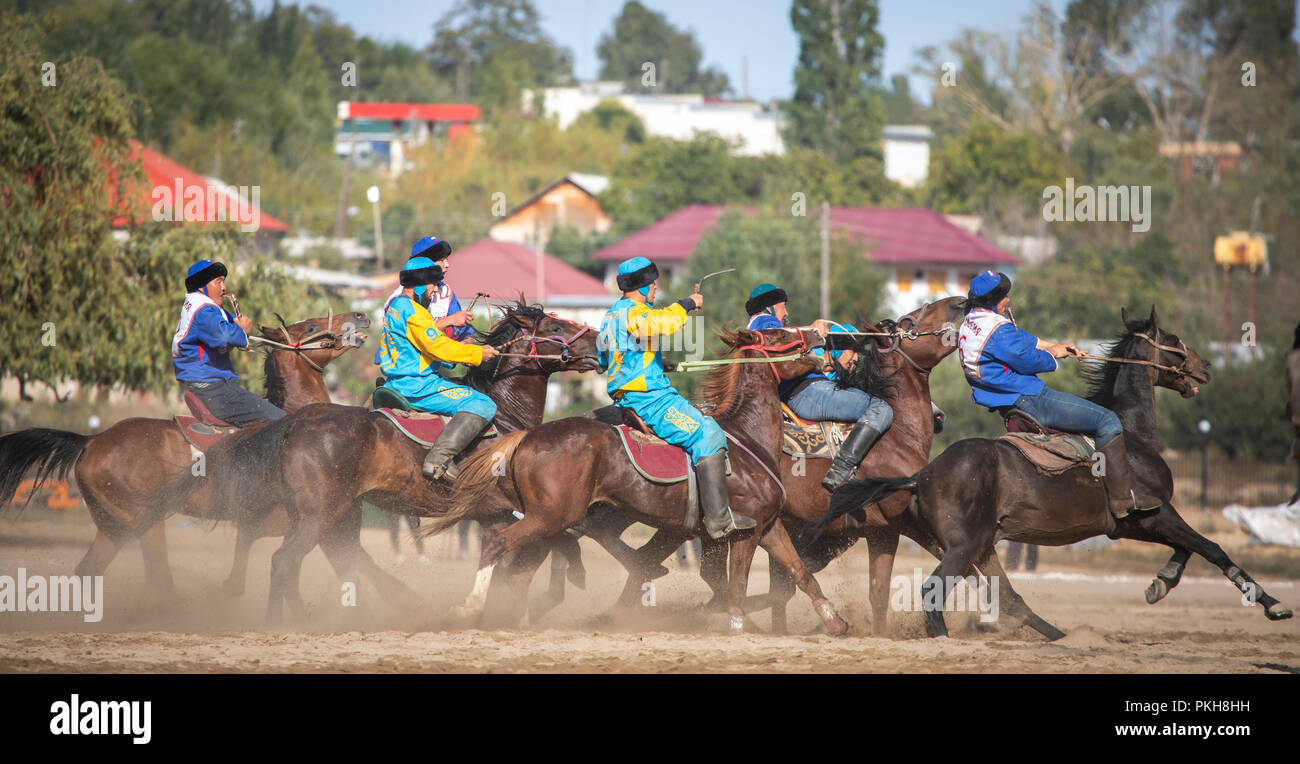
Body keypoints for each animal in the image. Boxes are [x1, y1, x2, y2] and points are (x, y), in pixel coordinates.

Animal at [0, 310, 374, 597]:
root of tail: (91, 441)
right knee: (157, 577)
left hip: (113, 527)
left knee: (91, 570)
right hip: (144, 523)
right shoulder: (294, 521)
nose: (359, 316)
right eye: (309, 327)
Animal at [165, 298, 600, 621]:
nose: (599, 342)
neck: (505, 420)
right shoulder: (517, 511)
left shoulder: (499, 515)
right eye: (557, 329)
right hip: (320, 514)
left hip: (331, 513)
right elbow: (552, 544)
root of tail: (294, 423)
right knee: (285, 561)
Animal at [426, 324, 852, 636]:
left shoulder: (770, 526)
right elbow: (738, 583)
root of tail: (528, 435)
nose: (819, 335)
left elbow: (801, 574)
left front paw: (835, 621)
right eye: (779, 334)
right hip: (551, 517)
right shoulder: (744, 532)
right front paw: (736, 623)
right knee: (498, 543)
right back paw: (470, 606)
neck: (748, 437)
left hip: (558, 519)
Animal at [826, 305, 1294, 639]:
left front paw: (1159, 583)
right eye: (1174, 340)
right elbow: (1211, 548)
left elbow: (1187, 550)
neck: (1132, 435)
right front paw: (1274, 604)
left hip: (981, 546)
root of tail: (923, 476)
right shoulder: (1156, 512)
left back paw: (1057, 635)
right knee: (932, 590)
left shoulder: (1136, 524)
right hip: (963, 547)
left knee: (1006, 595)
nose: (1206, 367)